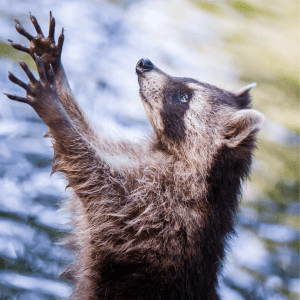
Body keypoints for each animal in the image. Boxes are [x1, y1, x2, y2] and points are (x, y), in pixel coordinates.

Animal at [5, 12, 264, 300]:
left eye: (184, 96)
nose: (144, 63)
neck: (169, 151)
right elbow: (91, 139)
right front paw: (55, 72)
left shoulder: (158, 211)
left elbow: (91, 172)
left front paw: (56, 115)